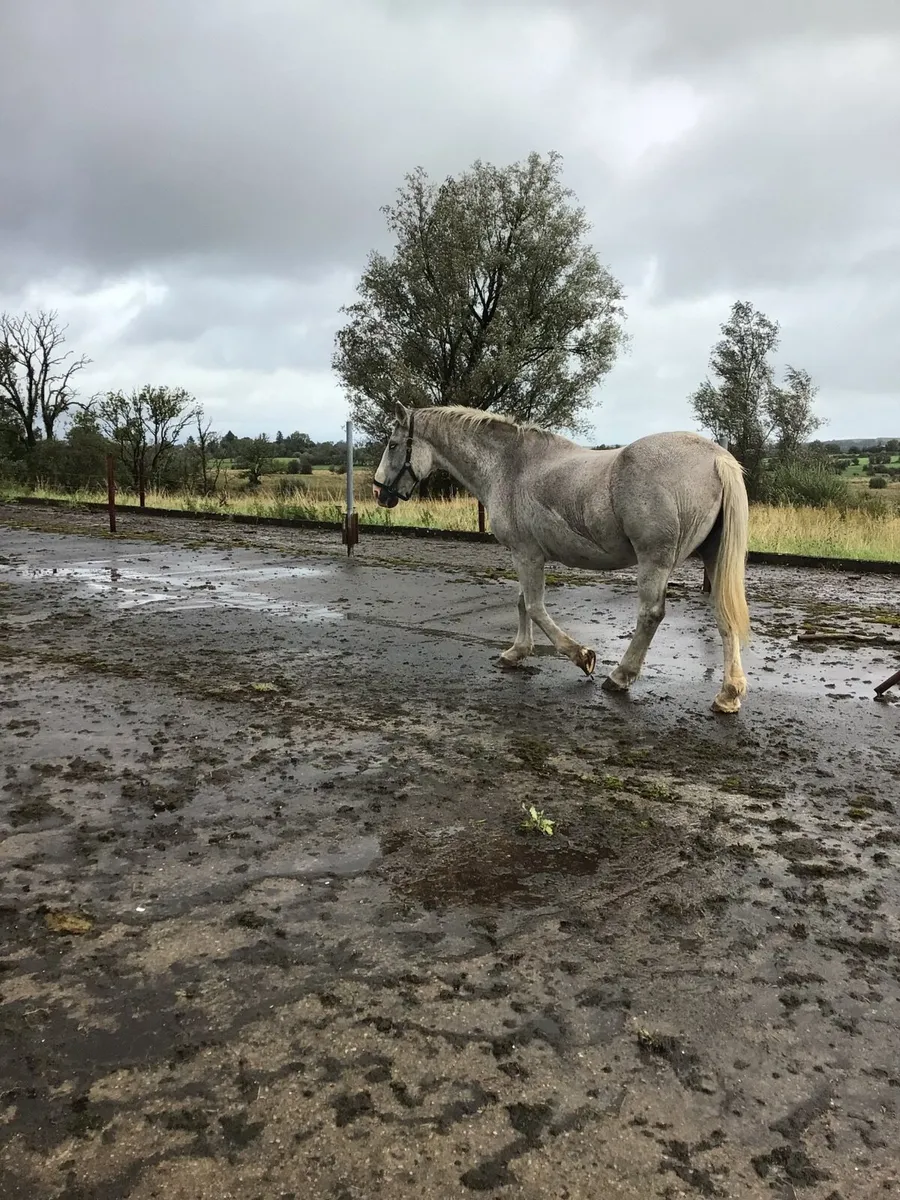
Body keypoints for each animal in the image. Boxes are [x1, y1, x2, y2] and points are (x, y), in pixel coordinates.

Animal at [373, 403, 750, 714]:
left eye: (392, 444)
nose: (379, 492)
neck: (511, 467)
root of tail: (717, 457)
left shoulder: (526, 553)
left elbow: (535, 607)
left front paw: (582, 656)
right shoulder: (526, 554)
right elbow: (523, 603)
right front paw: (516, 652)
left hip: (654, 560)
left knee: (650, 615)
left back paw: (620, 676)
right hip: (713, 557)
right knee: (724, 615)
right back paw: (728, 694)